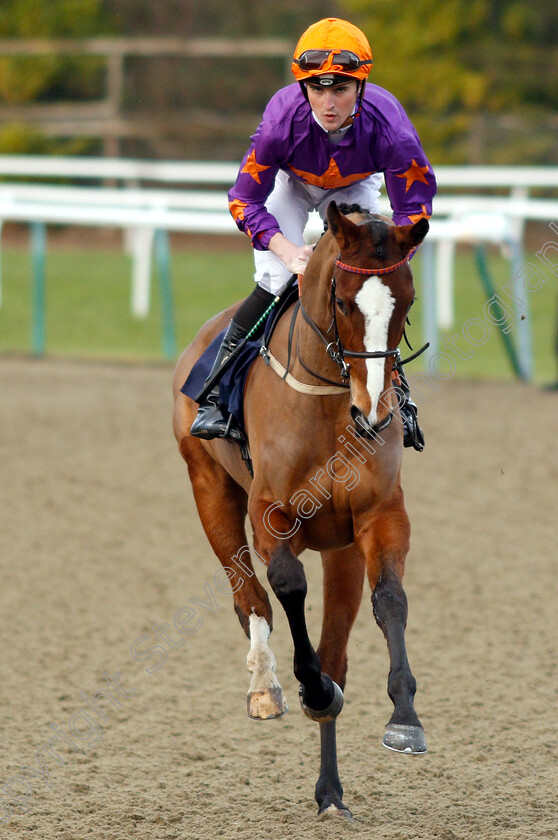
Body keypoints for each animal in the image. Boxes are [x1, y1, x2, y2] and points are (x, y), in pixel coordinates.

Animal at [173, 200, 430, 816]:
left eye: (408, 302)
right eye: (342, 302)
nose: (374, 410)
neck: (331, 405)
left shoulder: (379, 515)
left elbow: (391, 600)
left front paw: (405, 719)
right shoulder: (271, 514)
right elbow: (288, 586)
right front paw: (306, 686)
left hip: (341, 551)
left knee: (337, 652)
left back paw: (330, 790)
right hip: (209, 489)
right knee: (250, 596)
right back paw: (266, 688)